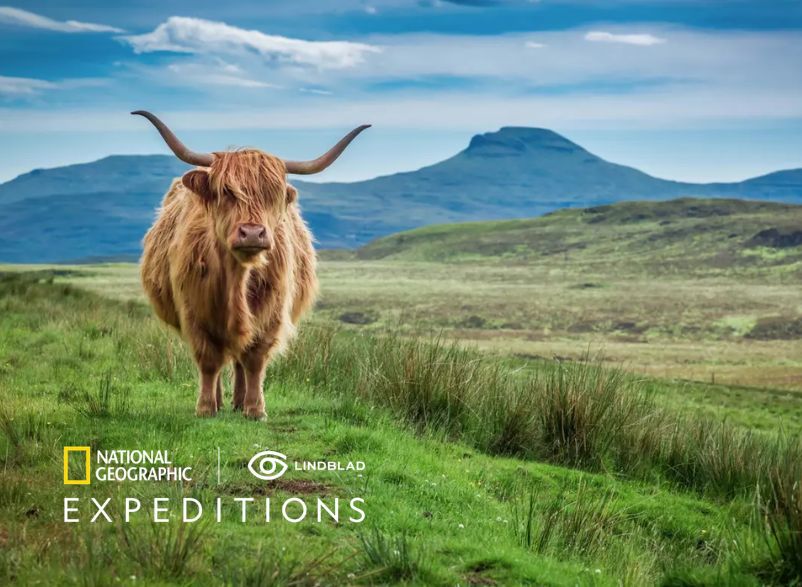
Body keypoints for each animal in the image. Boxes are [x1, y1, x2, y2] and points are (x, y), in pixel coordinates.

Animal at [134, 111, 369, 419]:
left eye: (273, 195)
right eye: (226, 192)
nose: (253, 233)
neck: (237, 278)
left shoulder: (272, 313)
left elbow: (255, 359)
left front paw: (255, 409)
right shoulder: (194, 311)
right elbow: (209, 360)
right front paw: (206, 408)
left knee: (239, 360)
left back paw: (238, 401)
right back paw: (221, 401)